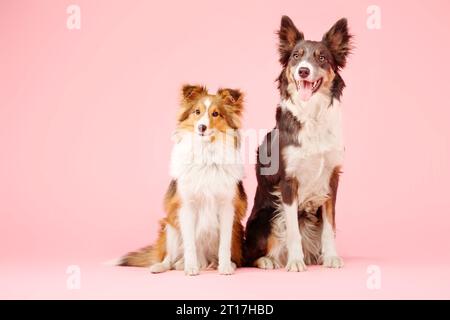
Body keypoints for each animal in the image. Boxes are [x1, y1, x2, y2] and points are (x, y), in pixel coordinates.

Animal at [119, 84, 246, 276]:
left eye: (216, 114)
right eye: (197, 112)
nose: (201, 127)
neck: (206, 154)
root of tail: (205, 259)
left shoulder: (227, 207)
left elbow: (224, 245)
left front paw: (224, 267)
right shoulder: (186, 206)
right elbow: (190, 244)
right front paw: (191, 268)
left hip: (237, 229)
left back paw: (223, 264)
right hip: (170, 226)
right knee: (169, 259)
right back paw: (165, 266)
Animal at [244, 16, 354, 272]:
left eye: (322, 58)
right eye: (296, 56)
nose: (304, 70)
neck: (312, 114)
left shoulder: (331, 179)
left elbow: (330, 227)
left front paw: (331, 257)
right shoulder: (288, 181)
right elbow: (293, 230)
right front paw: (295, 261)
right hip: (267, 215)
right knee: (251, 253)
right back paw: (269, 260)